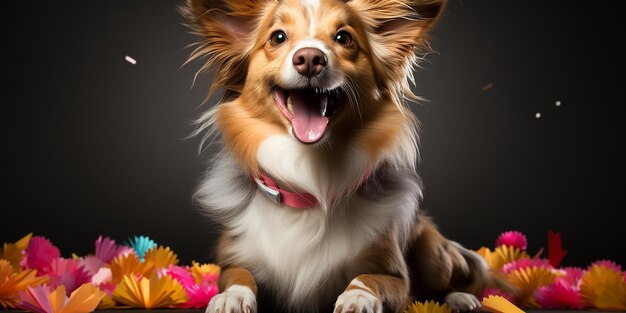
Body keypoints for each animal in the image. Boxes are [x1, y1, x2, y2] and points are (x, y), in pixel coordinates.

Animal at [179, 0, 508, 312]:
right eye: (278, 37)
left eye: (343, 38)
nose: (309, 58)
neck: (312, 179)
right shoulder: (235, 257)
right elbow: (239, 274)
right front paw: (230, 298)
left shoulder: (396, 276)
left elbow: (368, 278)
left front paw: (358, 297)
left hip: (431, 251)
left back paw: (462, 298)